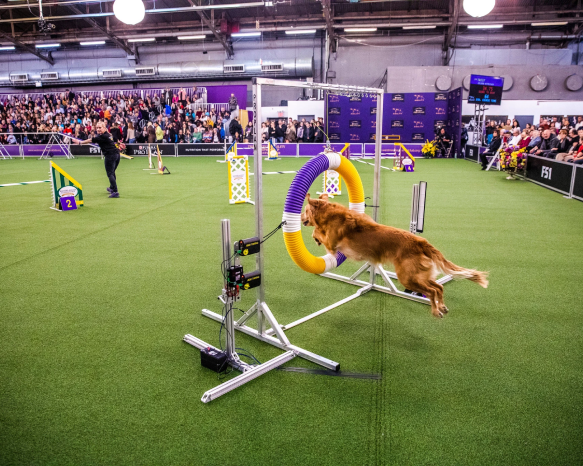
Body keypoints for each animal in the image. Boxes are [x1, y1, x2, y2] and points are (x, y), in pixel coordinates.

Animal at [302, 192, 488, 316]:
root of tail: (420, 241)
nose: (300, 219)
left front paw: (315, 237)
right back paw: (441, 306)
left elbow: (317, 232)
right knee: (438, 287)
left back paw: (436, 311)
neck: (329, 214)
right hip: (418, 276)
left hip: (408, 277)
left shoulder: (332, 244)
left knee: (431, 291)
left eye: (304, 210)